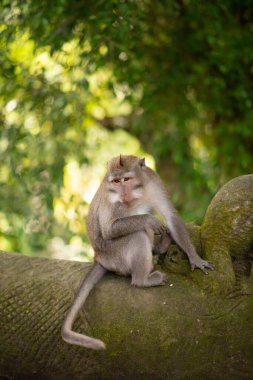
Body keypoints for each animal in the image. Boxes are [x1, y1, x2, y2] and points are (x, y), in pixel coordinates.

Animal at [61, 154, 213, 350]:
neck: (137, 193)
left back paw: (161, 246)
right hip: (114, 255)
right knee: (138, 235)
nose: (122, 193)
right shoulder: (111, 196)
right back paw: (143, 280)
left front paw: (195, 258)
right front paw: (151, 220)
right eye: (116, 181)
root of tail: (99, 258)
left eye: (126, 179)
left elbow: (171, 216)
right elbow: (110, 229)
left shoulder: (154, 181)